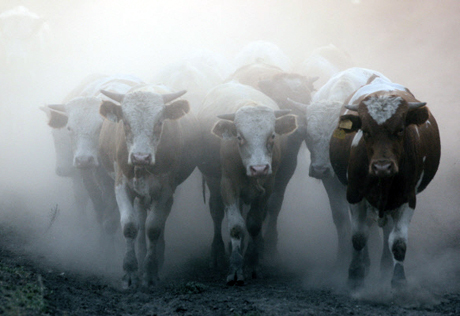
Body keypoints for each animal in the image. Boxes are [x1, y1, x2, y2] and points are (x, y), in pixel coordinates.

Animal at [99, 84, 199, 288]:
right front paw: (130, 271)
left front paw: (150, 272)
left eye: (159, 123)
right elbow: (130, 226)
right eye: (126, 123)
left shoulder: (165, 191)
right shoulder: (121, 186)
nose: (140, 157)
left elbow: (153, 228)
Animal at [198, 82, 298, 286]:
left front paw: (253, 262)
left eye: (272, 135)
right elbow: (236, 225)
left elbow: (254, 223)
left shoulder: (268, 186)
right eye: (239, 137)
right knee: (216, 212)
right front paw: (235, 268)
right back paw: (218, 253)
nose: (259, 168)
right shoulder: (228, 184)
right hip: (212, 179)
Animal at [228, 61, 318, 256]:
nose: (300, 129)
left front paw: (270, 240)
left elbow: (274, 203)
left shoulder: (287, 167)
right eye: (281, 101)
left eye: (307, 100)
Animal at [328, 74, 440, 288]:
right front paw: (355, 276)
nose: (382, 167)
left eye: (401, 129)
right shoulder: (354, 194)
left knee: (388, 231)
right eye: (365, 130)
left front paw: (398, 281)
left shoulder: (407, 198)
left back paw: (386, 266)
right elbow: (358, 237)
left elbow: (398, 242)